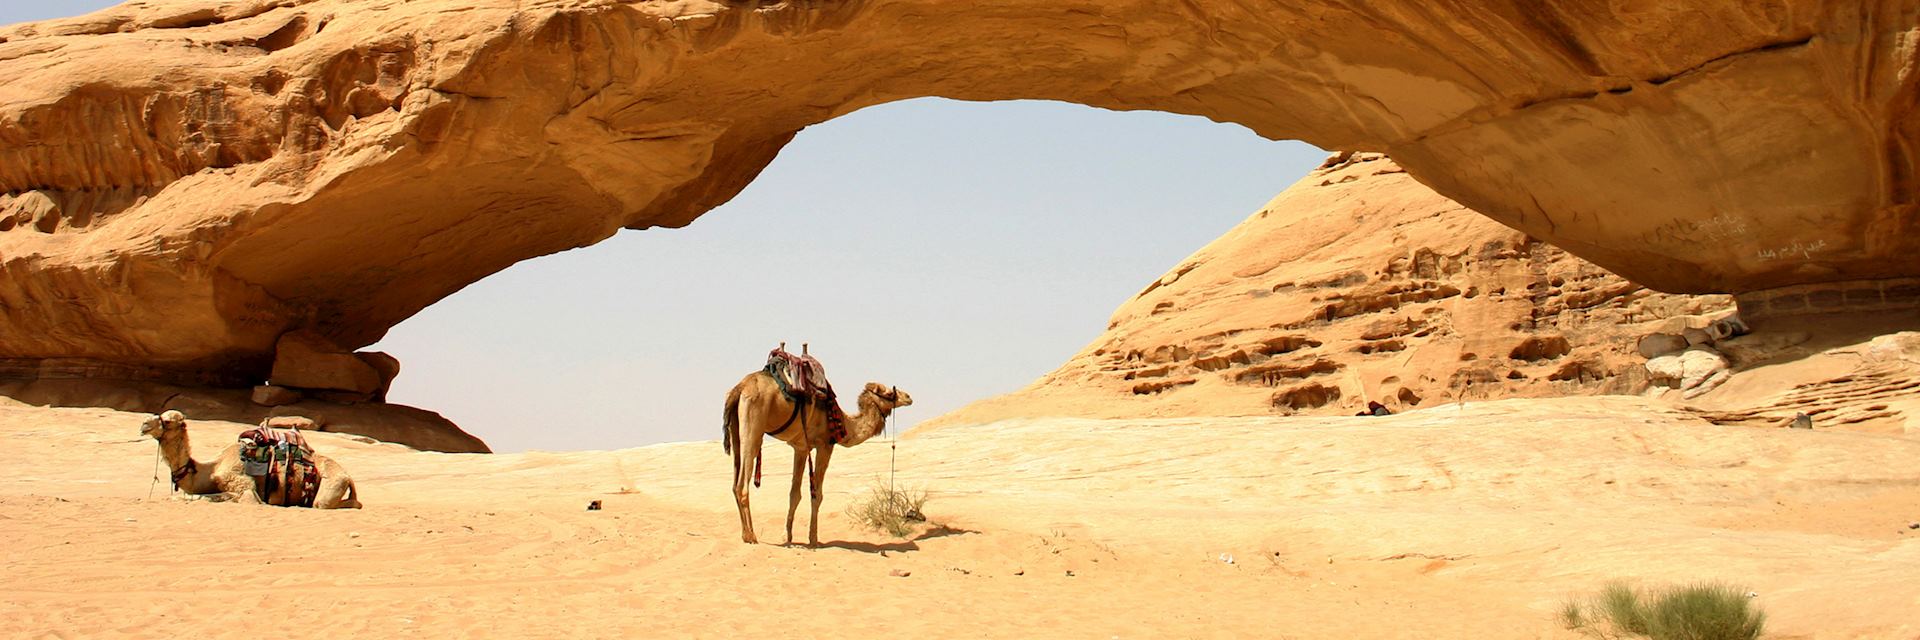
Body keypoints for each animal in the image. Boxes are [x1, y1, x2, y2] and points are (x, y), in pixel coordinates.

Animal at [139, 409, 360, 507]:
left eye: (168, 421)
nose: (144, 425)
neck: (210, 469)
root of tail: (348, 476)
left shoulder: (243, 485)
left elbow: (229, 497)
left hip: (330, 488)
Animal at [725, 374, 921, 541]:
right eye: (889, 393)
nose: (909, 397)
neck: (844, 423)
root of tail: (740, 388)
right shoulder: (825, 445)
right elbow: (817, 495)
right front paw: (813, 539)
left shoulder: (801, 448)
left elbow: (794, 494)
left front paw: (787, 537)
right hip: (753, 427)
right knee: (742, 485)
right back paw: (751, 536)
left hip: (736, 429)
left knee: (735, 484)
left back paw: (744, 534)